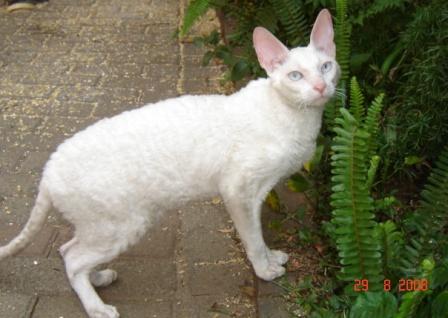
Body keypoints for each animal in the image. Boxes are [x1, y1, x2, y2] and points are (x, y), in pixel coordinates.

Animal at [0, 8, 338, 318]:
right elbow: (252, 238)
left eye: (326, 66)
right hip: (123, 224)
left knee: (67, 250)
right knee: (72, 260)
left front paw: (272, 257)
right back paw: (98, 308)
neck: (296, 116)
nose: (321, 87)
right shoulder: (238, 191)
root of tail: (48, 169)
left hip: (99, 227)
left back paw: (99, 277)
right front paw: (265, 270)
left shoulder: (256, 194)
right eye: (295, 76)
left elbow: (258, 235)